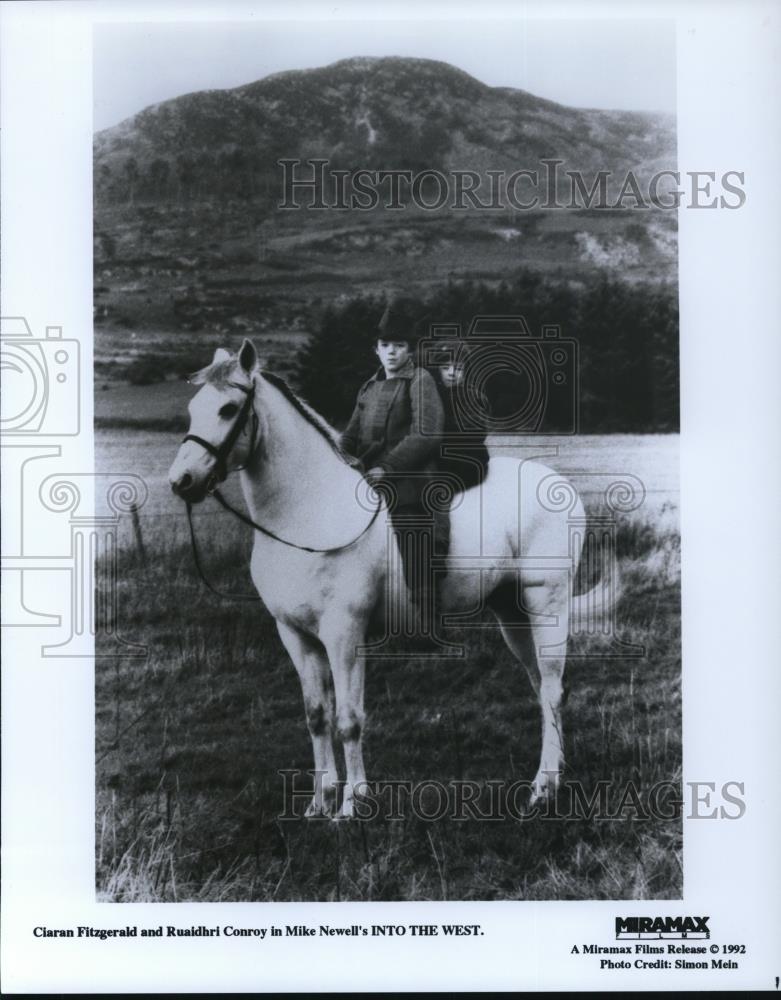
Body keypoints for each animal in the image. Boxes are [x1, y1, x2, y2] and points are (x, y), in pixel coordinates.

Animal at [169, 340, 616, 816]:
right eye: (193, 408)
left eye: (228, 408)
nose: (181, 482)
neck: (309, 511)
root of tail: (561, 485)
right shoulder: (295, 634)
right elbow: (317, 716)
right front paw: (319, 802)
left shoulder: (344, 633)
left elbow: (348, 719)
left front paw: (352, 803)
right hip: (511, 613)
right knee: (542, 686)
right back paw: (552, 777)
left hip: (546, 605)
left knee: (551, 689)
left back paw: (542, 788)